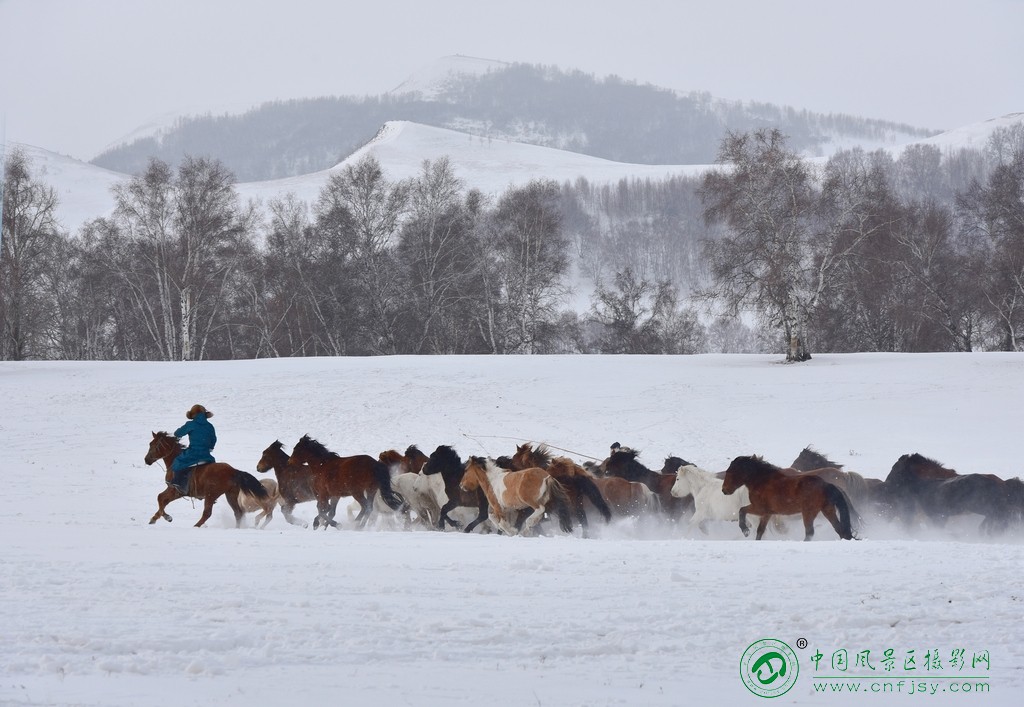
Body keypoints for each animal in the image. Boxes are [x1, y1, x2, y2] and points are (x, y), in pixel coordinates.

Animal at [720, 450, 856, 541]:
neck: (761, 480)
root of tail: (826, 485)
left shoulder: (759, 508)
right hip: (827, 510)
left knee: (810, 532)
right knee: (839, 529)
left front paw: (745, 531)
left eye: (729, 472)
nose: (724, 490)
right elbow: (760, 531)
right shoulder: (767, 513)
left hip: (809, 512)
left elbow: (741, 510)